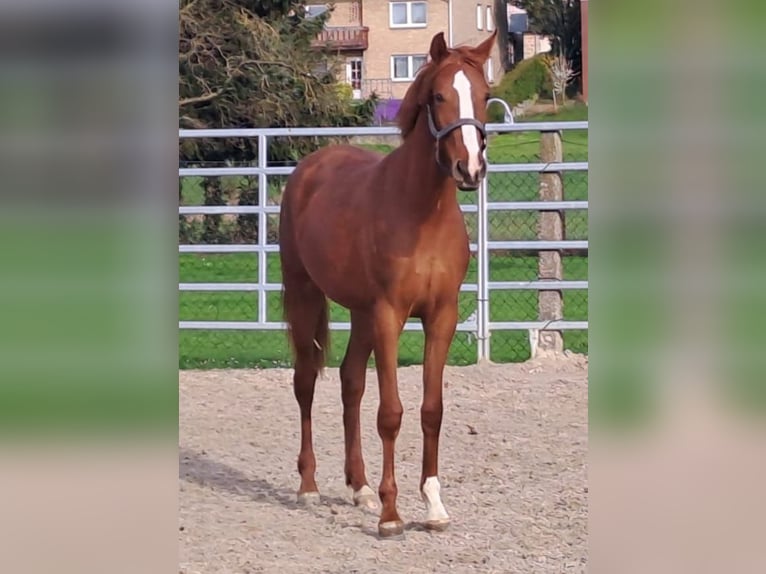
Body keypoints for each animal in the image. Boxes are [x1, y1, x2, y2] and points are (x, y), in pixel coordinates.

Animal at [282, 31, 498, 536]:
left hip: (361, 314)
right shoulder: (389, 315)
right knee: (306, 382)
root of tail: (311, 166)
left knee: (349, 382)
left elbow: (431, 410)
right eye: (438, 96)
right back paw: (309, 488)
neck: (421, 211)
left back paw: (359, 487)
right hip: (307, 295)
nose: (470, 170)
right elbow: (391, 412)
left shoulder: (441, 317)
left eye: (483, 95)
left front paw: (434, 507)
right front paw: (391, 515)